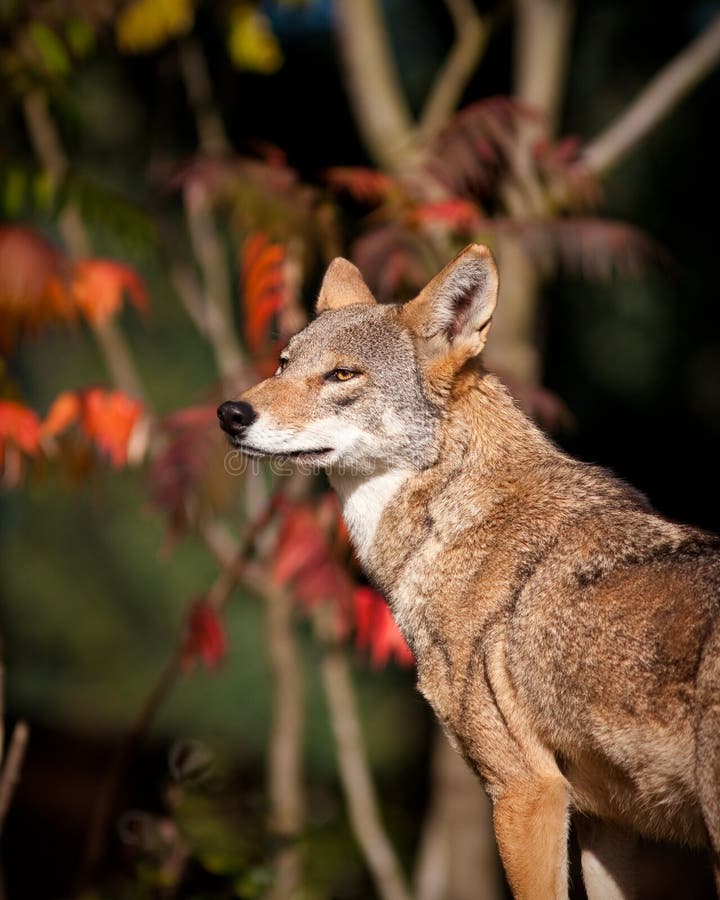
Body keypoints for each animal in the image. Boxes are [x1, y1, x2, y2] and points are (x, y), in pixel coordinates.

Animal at [218, 244, 720, 899]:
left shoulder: (526, 792)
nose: (230, 412)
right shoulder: (609, 822)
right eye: (282, 363)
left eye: (342, 375)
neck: (450, 522)